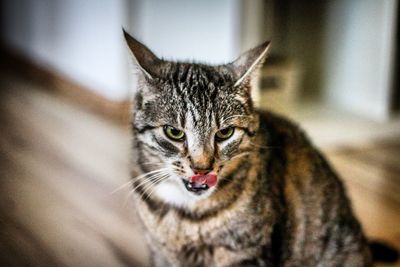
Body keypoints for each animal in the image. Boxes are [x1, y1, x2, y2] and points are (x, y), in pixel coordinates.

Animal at [124, 29, 372, 267]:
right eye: (173, 132)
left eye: (225, 132)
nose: (202, 169)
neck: (187, 215)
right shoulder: (159, 253)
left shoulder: (248, 254)